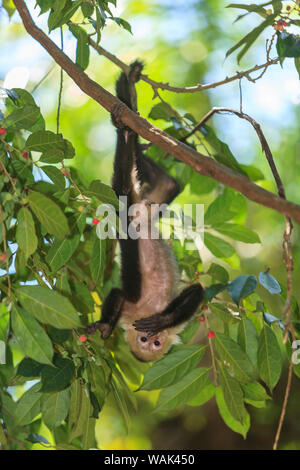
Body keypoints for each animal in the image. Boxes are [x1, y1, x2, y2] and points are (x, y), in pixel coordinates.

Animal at [86, 60, 204, 362]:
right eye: (144, 341)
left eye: (156, 343)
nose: (151, 340)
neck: (149, 310)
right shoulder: (131, 309)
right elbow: (119, 293)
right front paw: (105, 326)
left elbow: (197, 292)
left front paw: (162, 321)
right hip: (131, 204)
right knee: (130, 186)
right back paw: (126, 127)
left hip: (148, 204)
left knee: (166, 184)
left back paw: (130, 123)